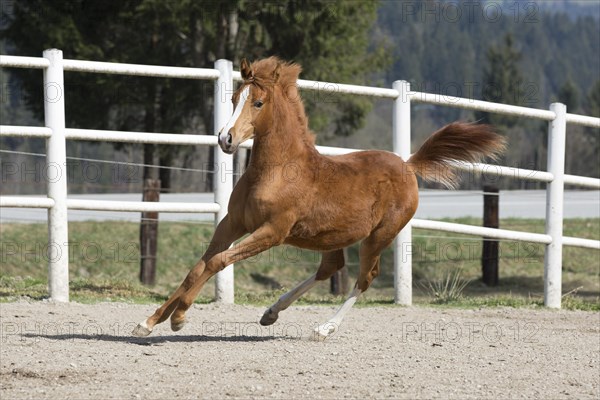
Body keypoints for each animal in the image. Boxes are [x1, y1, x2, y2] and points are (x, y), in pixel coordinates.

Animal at [132, 56, 506, 338]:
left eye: (258, 102)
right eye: (234, 98)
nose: (226, 139)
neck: (277, 170)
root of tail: (408, 165)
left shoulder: (273, 231)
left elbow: (217, 262)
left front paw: (179, 318)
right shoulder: (233, 222)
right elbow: (198, 267)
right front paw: (148, 323)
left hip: (379, 236)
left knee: (364, 277)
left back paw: (324, 328)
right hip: (332, 237)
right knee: (331, 268)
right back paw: (272, 312)